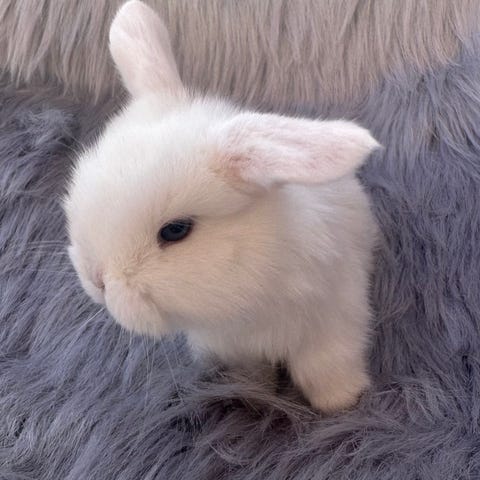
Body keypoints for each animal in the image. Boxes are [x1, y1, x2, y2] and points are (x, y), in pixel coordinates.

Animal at [64, 0, 380, 413]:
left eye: (176, 230)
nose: (96, 280)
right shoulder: (231, 347)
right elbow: (250, 373)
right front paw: (250, 395)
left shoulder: (332, 322)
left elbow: (326, 367)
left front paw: (341, 403)